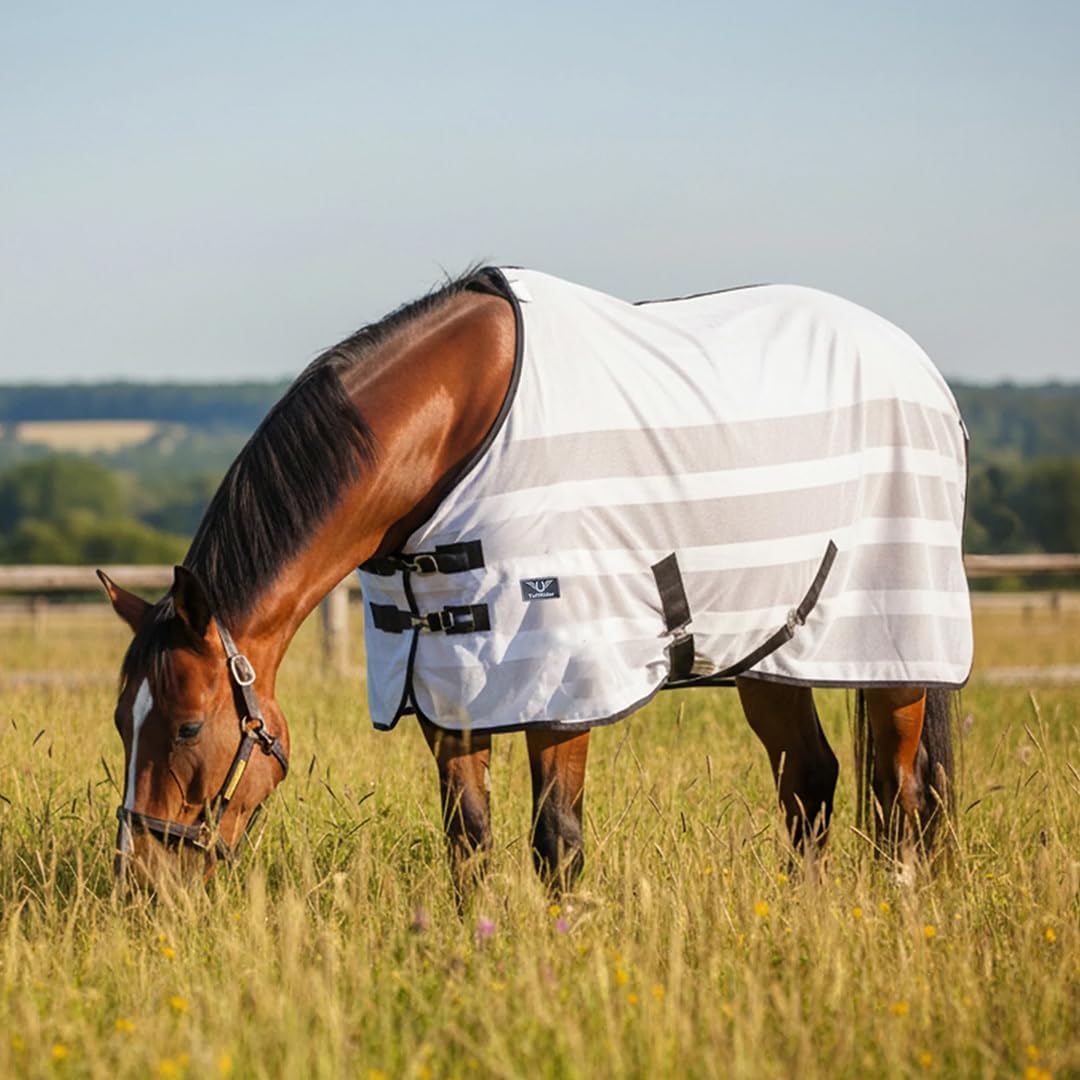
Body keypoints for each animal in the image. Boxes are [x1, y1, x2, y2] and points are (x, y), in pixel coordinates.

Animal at [100, 266, 971, 891]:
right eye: (120, 722)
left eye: (186, 727)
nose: (142, 882)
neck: (459, 426)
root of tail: (923, 371)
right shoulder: (445, 683)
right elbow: (469, 838)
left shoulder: (561, 685)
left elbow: (557, 841)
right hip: (771, 653)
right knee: (811, 785)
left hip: (897, 652)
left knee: (902, 792)